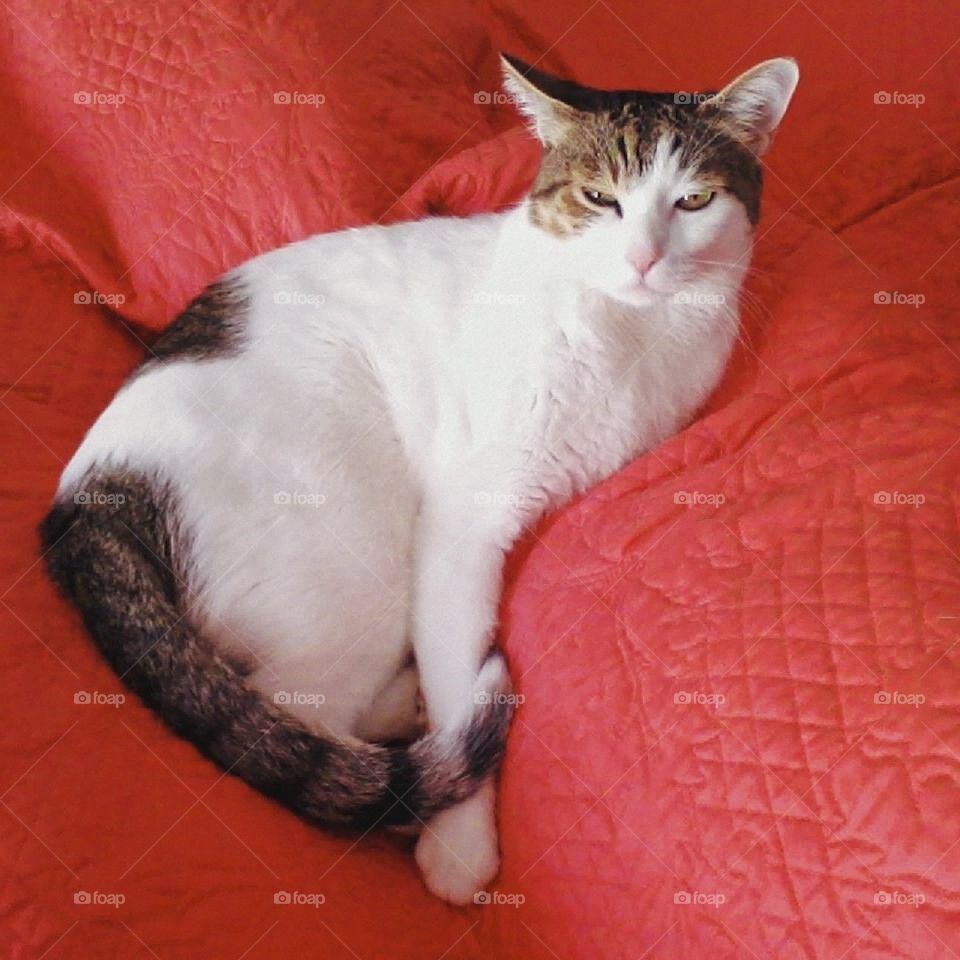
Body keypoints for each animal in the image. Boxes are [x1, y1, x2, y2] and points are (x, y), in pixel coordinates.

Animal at [41, 52, 800, 904]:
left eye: (694, 199)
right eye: (598, 198)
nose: (644, 259)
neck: (629, 334)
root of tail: (90, 490)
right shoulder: (458, 530)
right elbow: (458, 668)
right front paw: (460, 844)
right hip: (353, 566)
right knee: (291, 715)